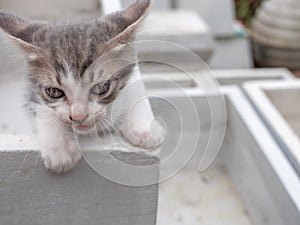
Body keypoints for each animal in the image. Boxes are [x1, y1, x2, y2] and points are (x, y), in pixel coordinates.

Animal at [0, 0, 164, 173]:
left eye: (101, 87)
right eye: (54, 92)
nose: (79, 117)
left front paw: (144, 128)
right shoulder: (32, 93)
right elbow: (43, 109)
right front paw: (60, 148)